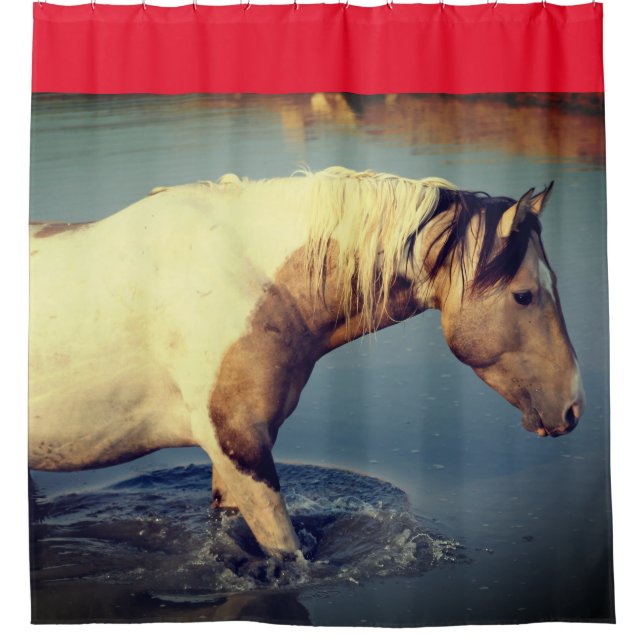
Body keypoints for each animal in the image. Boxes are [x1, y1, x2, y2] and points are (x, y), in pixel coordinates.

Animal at [28, 167, 585, 557]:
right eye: (524, 295)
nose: (574, 407)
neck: (249, 281)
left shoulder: (237, 451)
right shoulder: (239, 445)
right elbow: (289, 556)